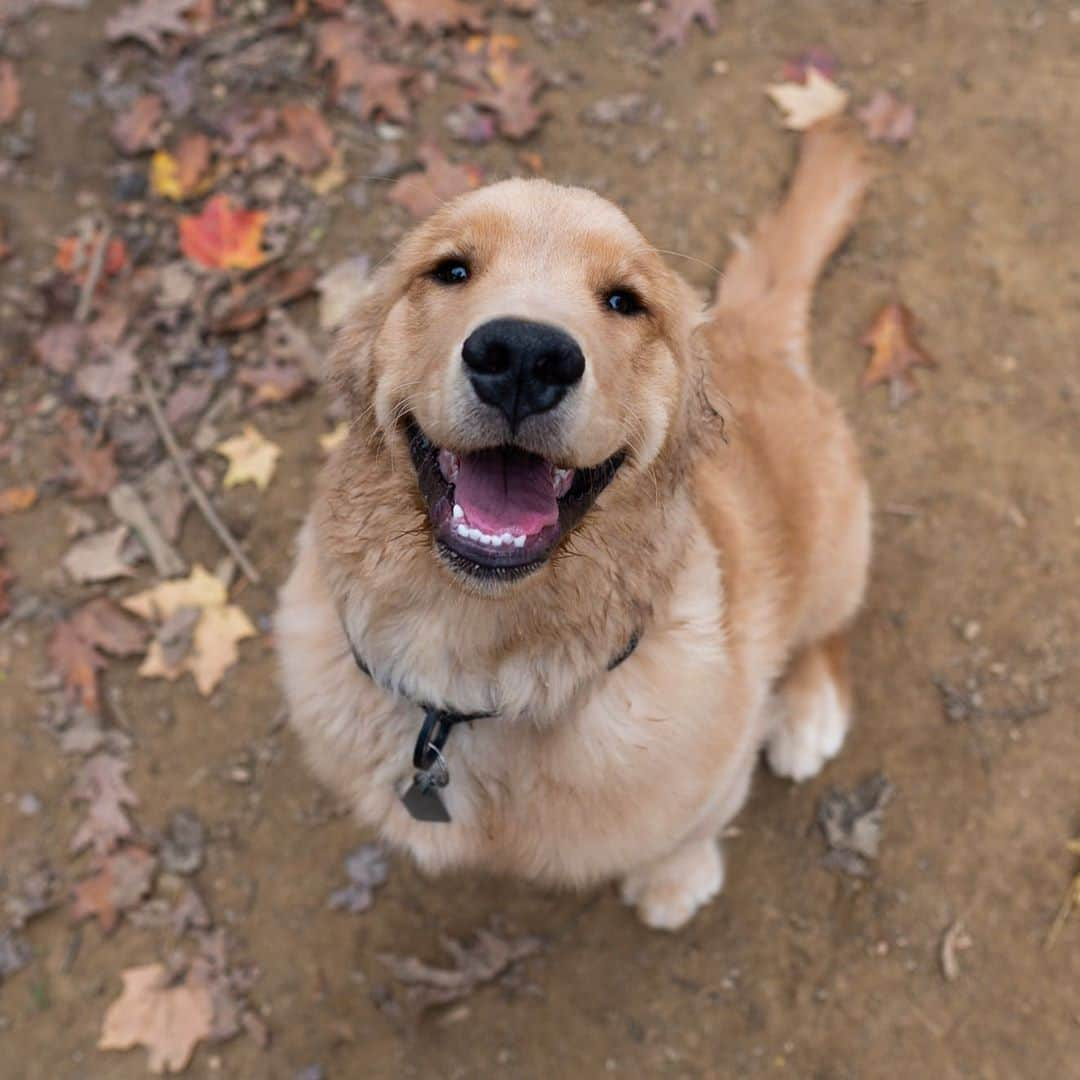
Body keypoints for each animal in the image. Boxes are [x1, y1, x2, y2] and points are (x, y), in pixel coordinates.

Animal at [274, 118, 872, 928]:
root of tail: (743, 330)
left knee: (826, 629)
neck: (476, 669)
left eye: (625, 300)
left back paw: (808, 714)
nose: (525, 356)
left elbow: (692, 828)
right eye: (450, 270)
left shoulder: (714, 769)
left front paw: (674, 881)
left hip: (839, 539)